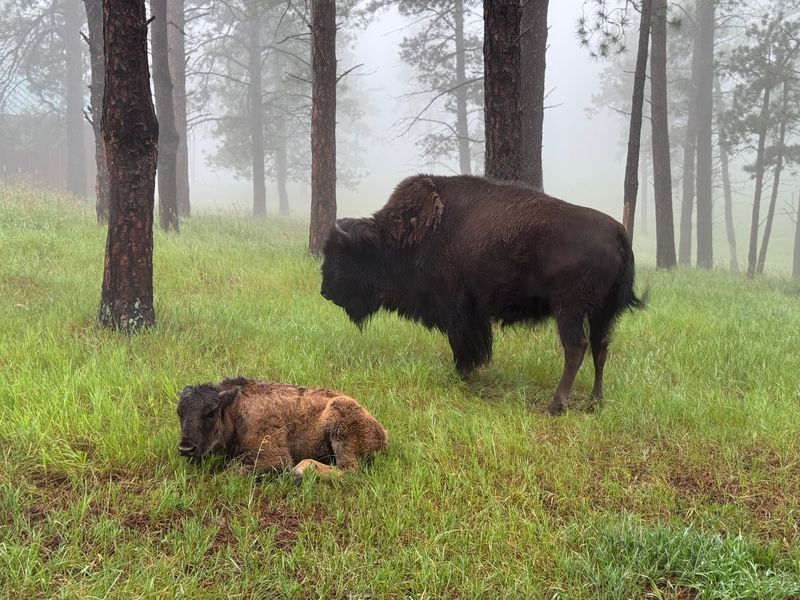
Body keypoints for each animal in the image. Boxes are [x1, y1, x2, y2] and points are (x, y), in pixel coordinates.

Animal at [320, 174, 644, 415]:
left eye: (341, 255)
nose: (325, 291)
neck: (405, 236)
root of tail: (618, 233)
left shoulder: (458, 311)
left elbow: (463, 345)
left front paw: (460, 374)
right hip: (603, 313)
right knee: (601, 349)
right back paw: (595, 402)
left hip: (570, 310)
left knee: (576, 347)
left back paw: (556, 404)